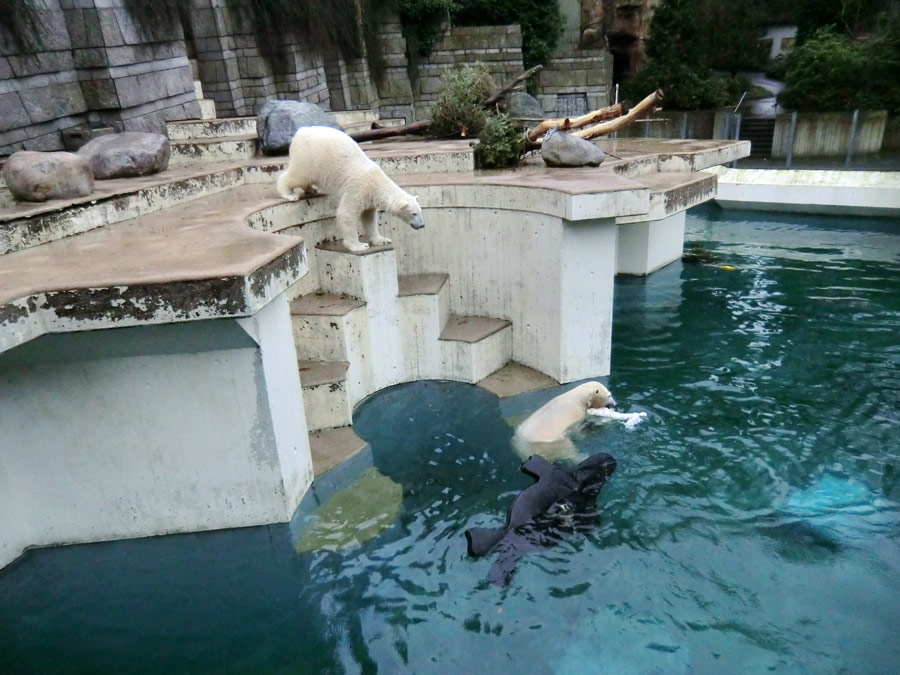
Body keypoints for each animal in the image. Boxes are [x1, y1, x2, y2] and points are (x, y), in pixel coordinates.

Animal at [276, 125, 424, 252]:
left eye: (420, 212)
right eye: (413, 213)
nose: (422, 225)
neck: (376, 183)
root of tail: (300, 131)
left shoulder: (369, 198)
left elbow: (369, 218)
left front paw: (382, 240)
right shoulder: (358, 189)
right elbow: (346, 214)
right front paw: (359, 245)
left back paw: (312, 190)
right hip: (310, 158)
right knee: (297, 176)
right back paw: (289, 194)